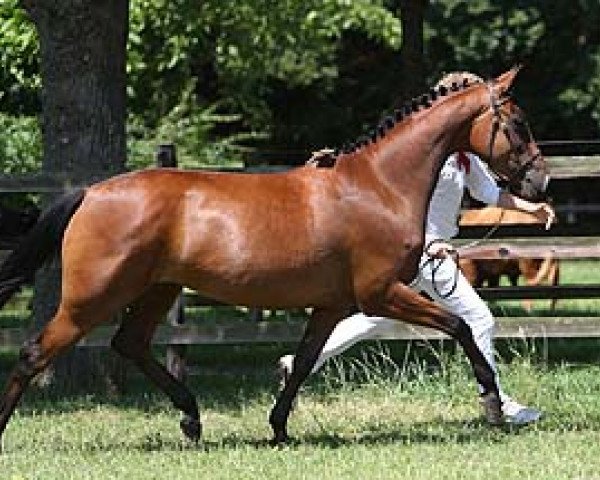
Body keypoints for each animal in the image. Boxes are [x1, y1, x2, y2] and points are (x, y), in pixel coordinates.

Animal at [0, 66, 548, 446]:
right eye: (518, 123)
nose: (539, 181)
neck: (379, 186)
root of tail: (90, 193)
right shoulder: (380, 295)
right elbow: (459, 328)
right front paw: (492, 404)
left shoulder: (333, 306)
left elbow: (304, 362)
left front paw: (279, 427)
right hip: (92, 298)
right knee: (34, 354)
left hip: (158, 289)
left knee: (129, 344)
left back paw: (192, 418)